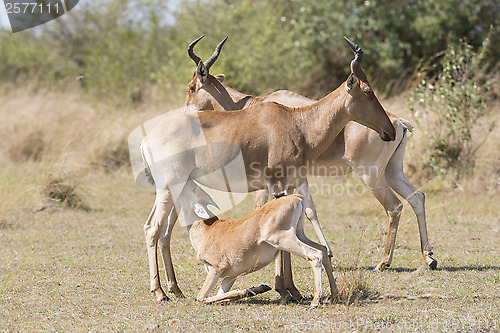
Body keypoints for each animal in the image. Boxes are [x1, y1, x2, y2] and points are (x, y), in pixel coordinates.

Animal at [141, 37, 394, 300]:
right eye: (368, 92)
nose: (389, 131)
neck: (296, 122)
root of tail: (147, 139)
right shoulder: (276, 184)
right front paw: (285, 289)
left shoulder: (290, 185)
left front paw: (291, 289)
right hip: (168, 188)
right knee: (152, 228)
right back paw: (160, 292)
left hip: (179, 189)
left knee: (165, 232)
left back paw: (175, 289)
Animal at [185, 35, 438, 276]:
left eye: (191, 87)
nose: (186, 113)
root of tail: (398, 123)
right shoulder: (298, 177)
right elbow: (310, 211)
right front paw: (327, 251)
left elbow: (263, 207)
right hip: (393, 171)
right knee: (417, 197)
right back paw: (429, 258)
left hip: (371, 175)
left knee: (394, 207)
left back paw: (384, 262)